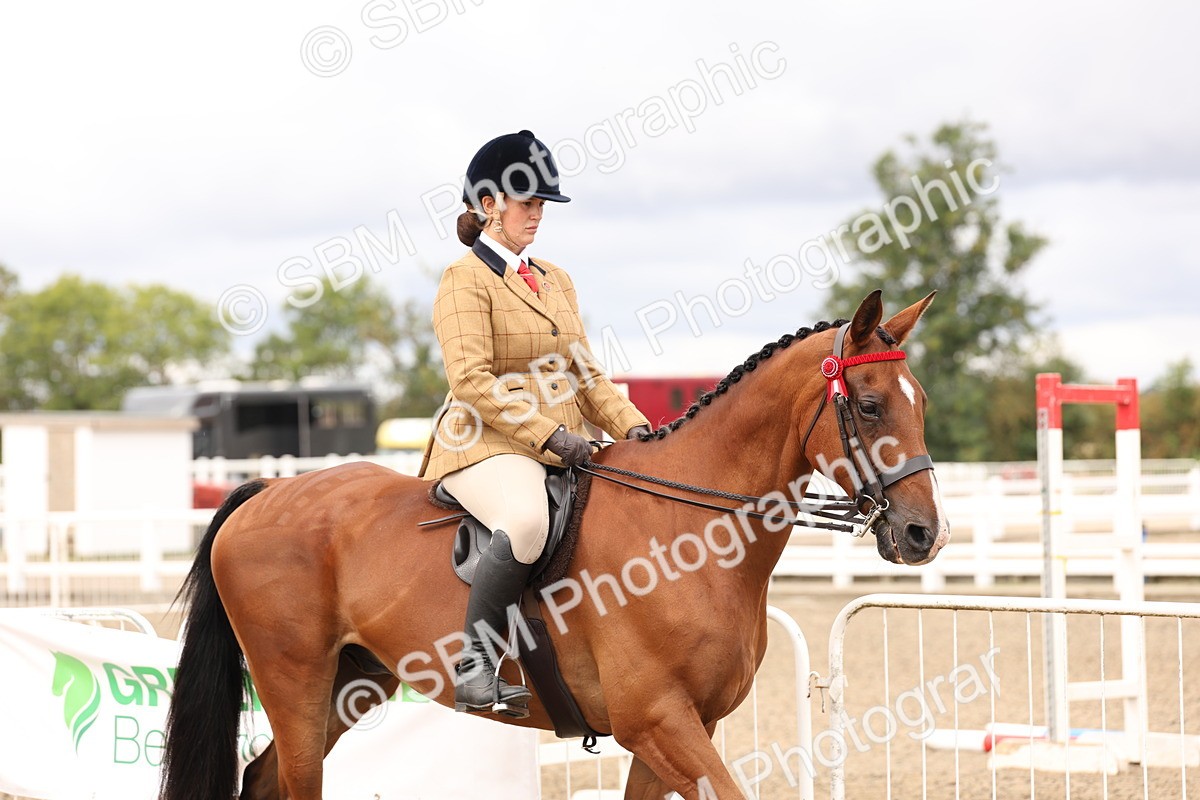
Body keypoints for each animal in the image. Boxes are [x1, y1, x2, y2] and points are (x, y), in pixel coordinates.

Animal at [160, 289, 949, 800]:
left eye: (922, 403)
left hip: (351, 684)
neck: (688, 534)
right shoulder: (658, 721)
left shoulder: (676, 730)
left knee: (262, 779)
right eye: (870, 405)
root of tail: (267, 491)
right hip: (294, 682)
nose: (923, 534)